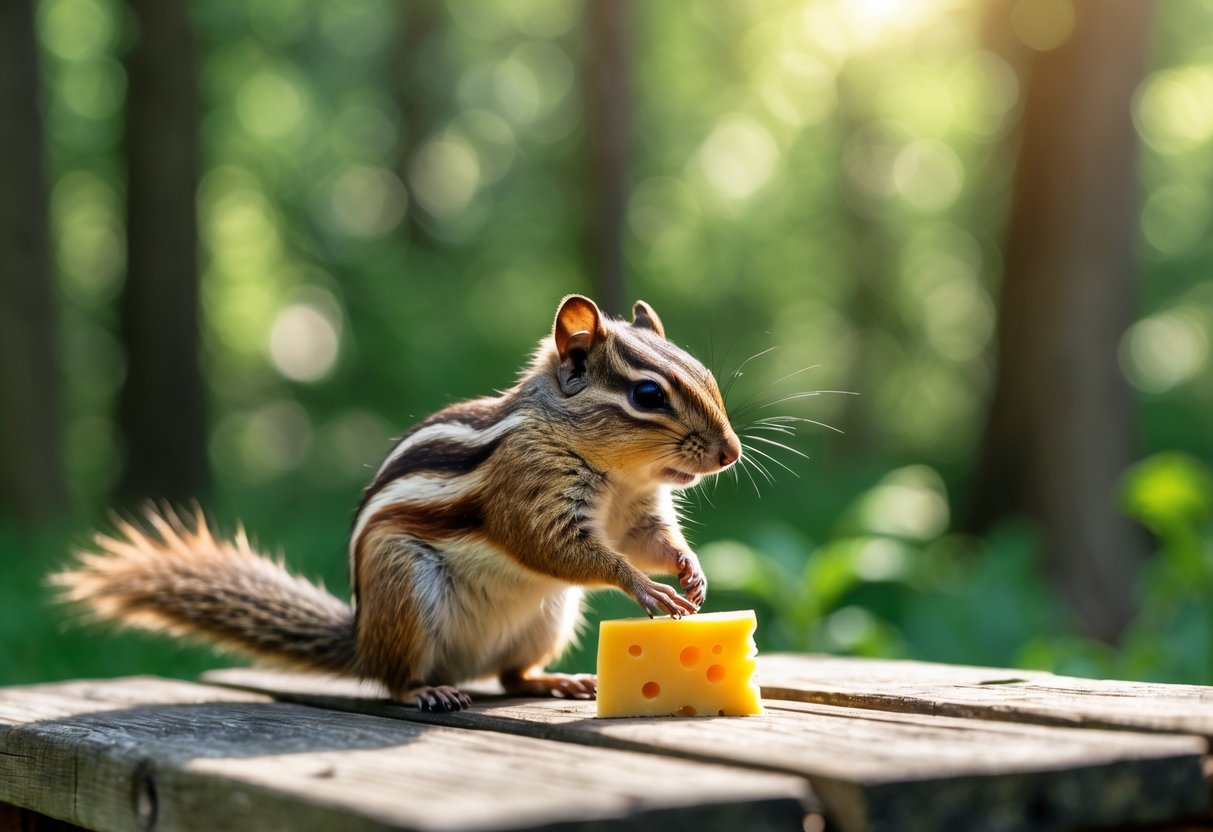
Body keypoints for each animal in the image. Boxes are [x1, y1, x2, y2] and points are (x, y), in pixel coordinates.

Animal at [54, 295, 742, 712]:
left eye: (706, 374)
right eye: (648, 394)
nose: (730, 453)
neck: (616, 474)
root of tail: (363, 638)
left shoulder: (637, 508)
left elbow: (650, 540)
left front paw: (690, 570)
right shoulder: (527, 491)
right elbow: (559, 547)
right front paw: (645, 588)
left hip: (546, 618)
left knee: (509, 675)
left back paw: (555, 679)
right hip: (405, 591)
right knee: (395, 681)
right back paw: (427, 693)